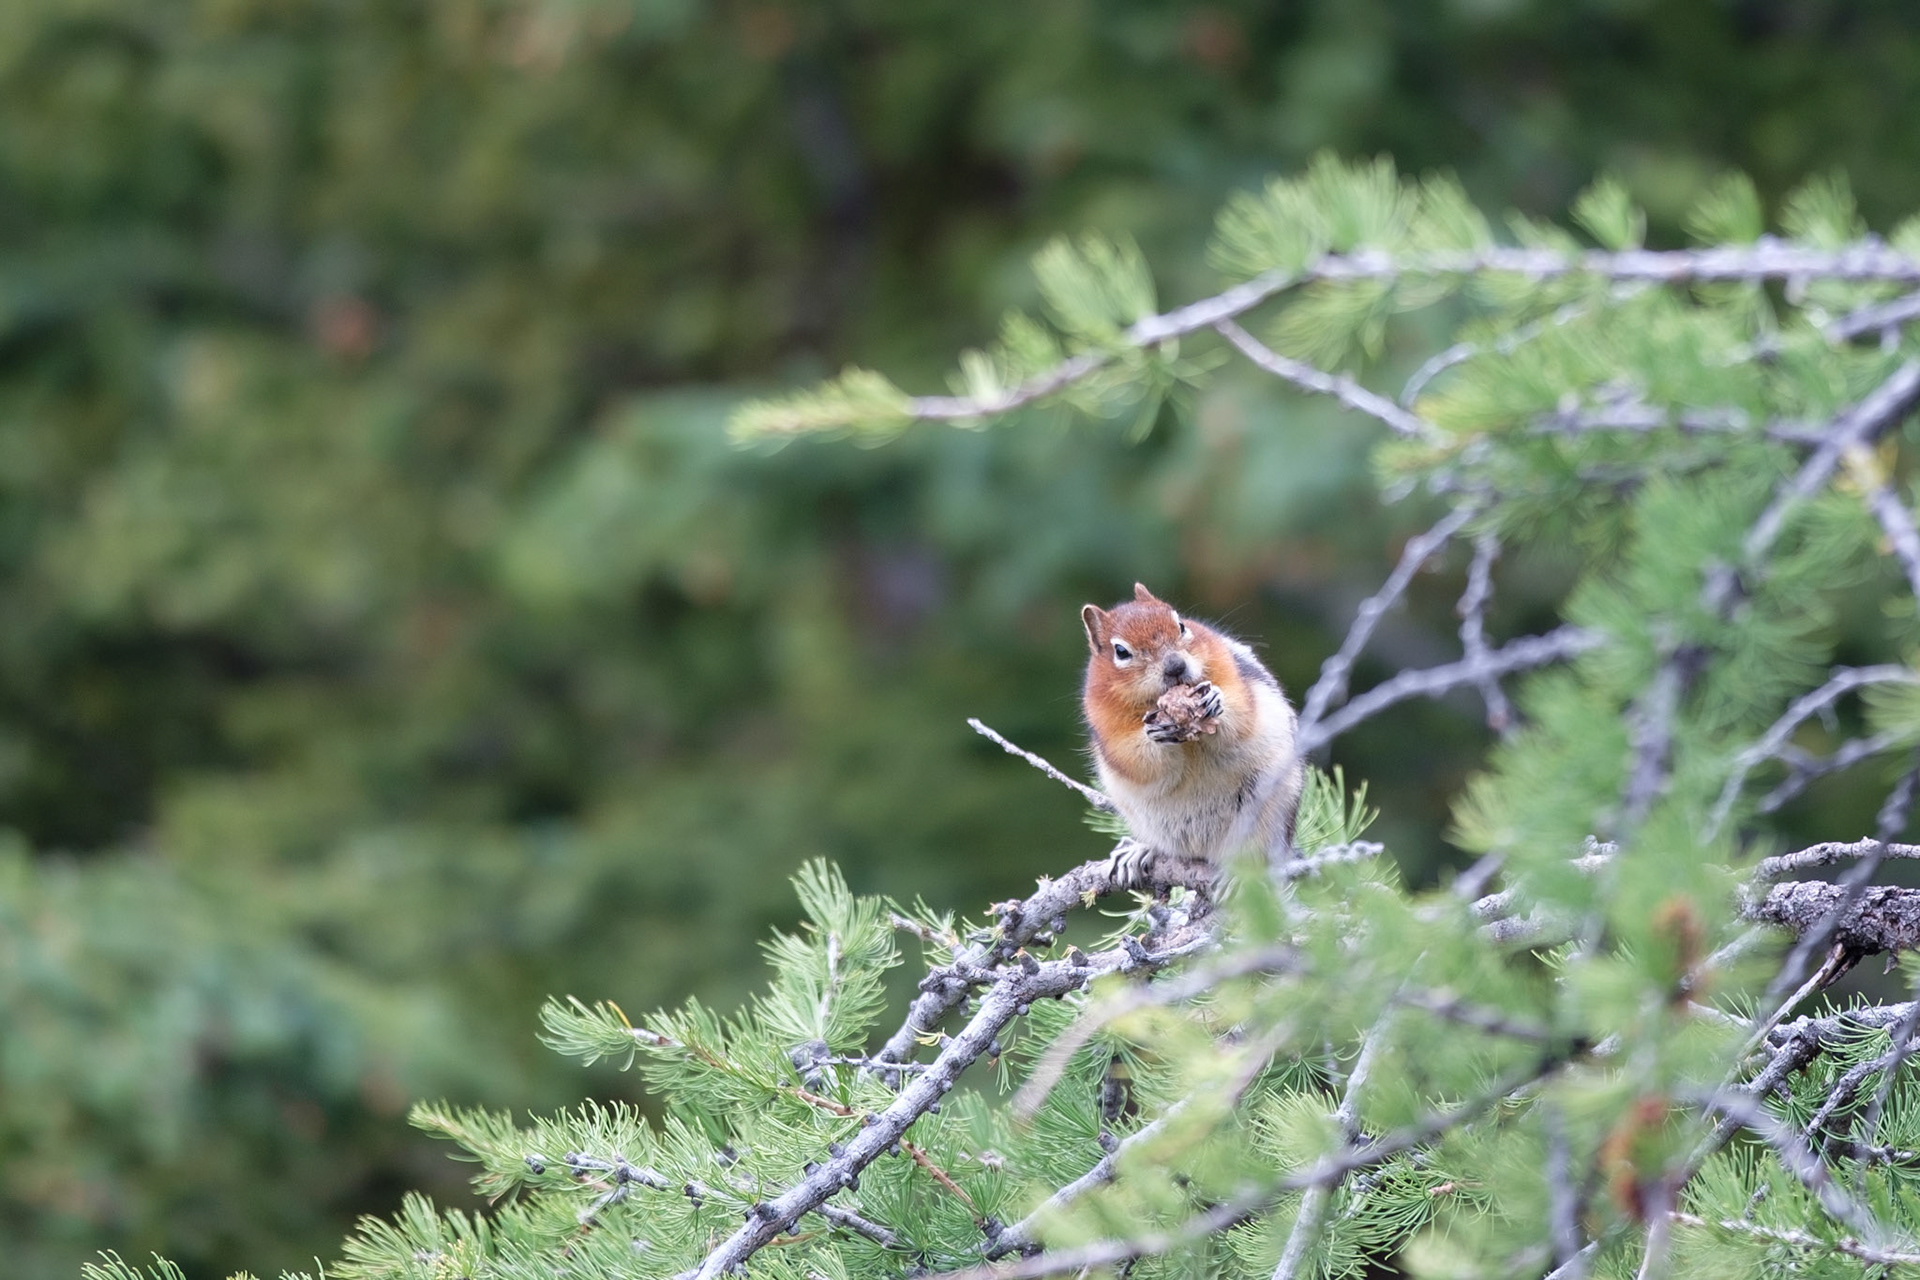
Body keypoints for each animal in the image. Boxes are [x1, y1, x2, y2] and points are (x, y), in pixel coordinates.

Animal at [1081, 583, 1303, 883]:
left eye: (1181, 625)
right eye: (1121, 651)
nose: (1176, 666)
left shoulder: (1232, 673)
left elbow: (1242, 717)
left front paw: (1215, 701)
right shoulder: (1107, 726)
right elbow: (1136, 761)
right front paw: (1154, 732)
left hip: (1270, 812)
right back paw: (1139, 851)